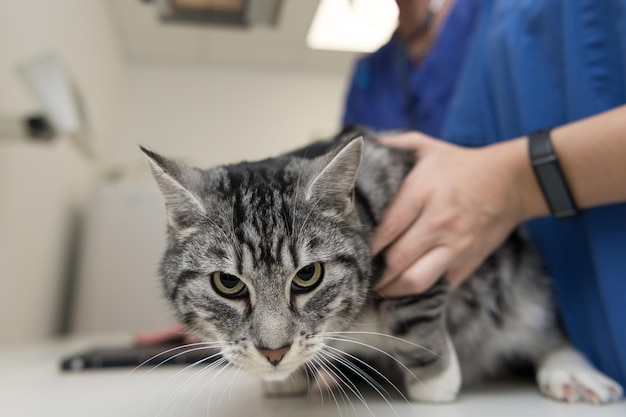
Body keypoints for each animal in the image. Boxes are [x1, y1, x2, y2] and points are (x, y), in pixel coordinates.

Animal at [141, 130, 620, 404]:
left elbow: (416, 314)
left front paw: (436, 380)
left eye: (307, 276)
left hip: (523, 282)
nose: (274, 353)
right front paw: (289, 377)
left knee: (544, 330)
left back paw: (571, 369)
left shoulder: (425, 241)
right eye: (228, 283)